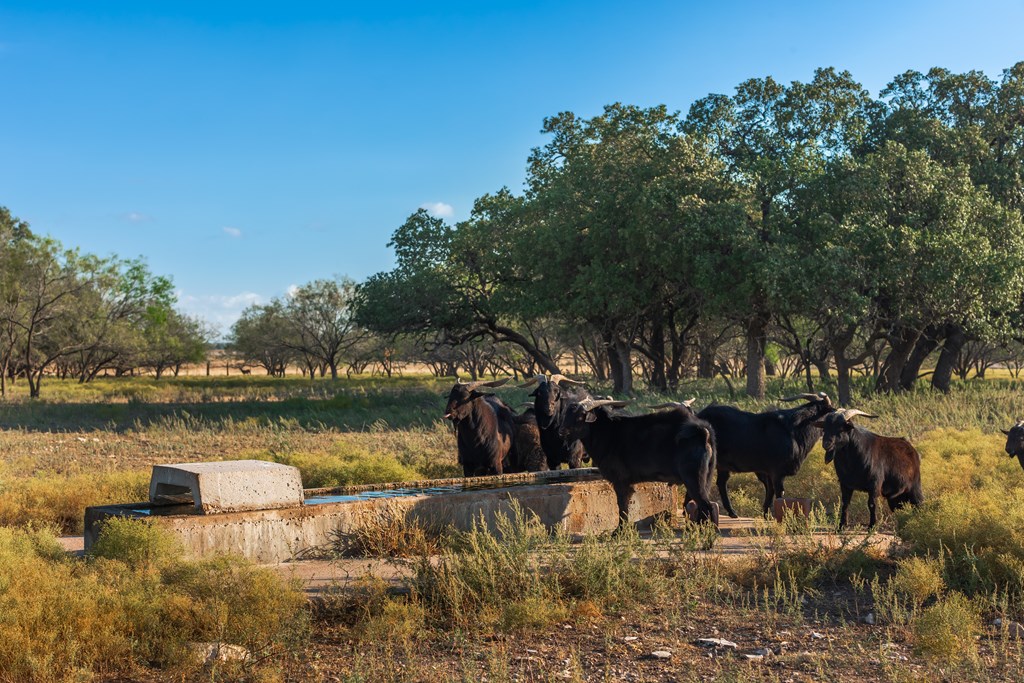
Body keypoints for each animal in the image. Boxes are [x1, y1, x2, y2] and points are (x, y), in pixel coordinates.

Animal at [700, 393, 835, 516]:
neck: (793, 430)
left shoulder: (767, 471)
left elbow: (770, 490)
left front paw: (766, 514)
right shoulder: (777, 472)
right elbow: (779, 492)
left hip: (723, 466)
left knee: (721, 482)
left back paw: (732, 512)